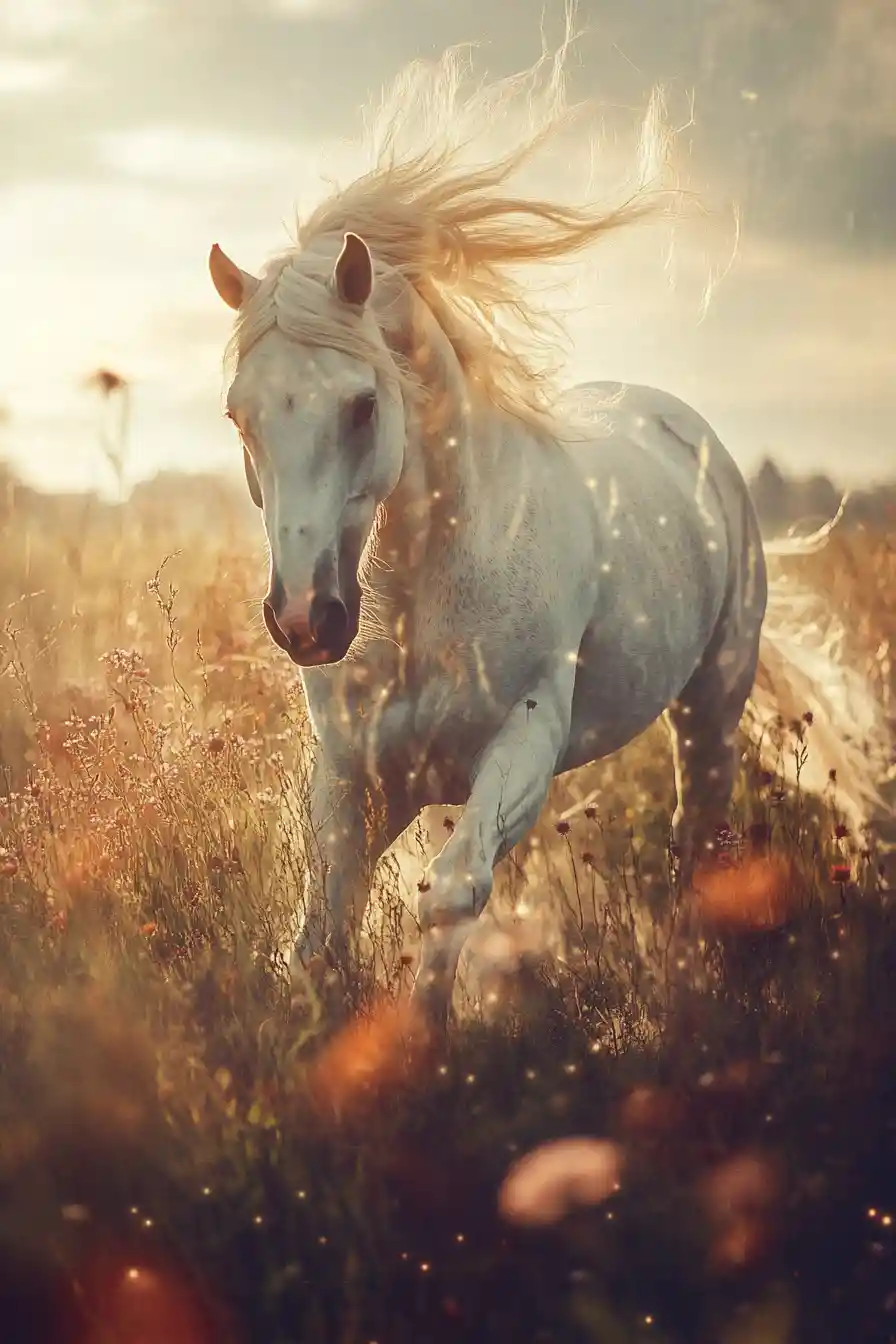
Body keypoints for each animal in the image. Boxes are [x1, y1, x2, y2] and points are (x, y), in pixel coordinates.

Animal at [208, 33, 889, 1026]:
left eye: (363, 404)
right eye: (239, 415)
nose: (305, 620)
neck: (425, 596)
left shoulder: (526, 735)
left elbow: (452, 894)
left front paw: (427, 1043)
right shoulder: (356, 772)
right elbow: (323, 935)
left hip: (712, 706)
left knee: (693, 841)